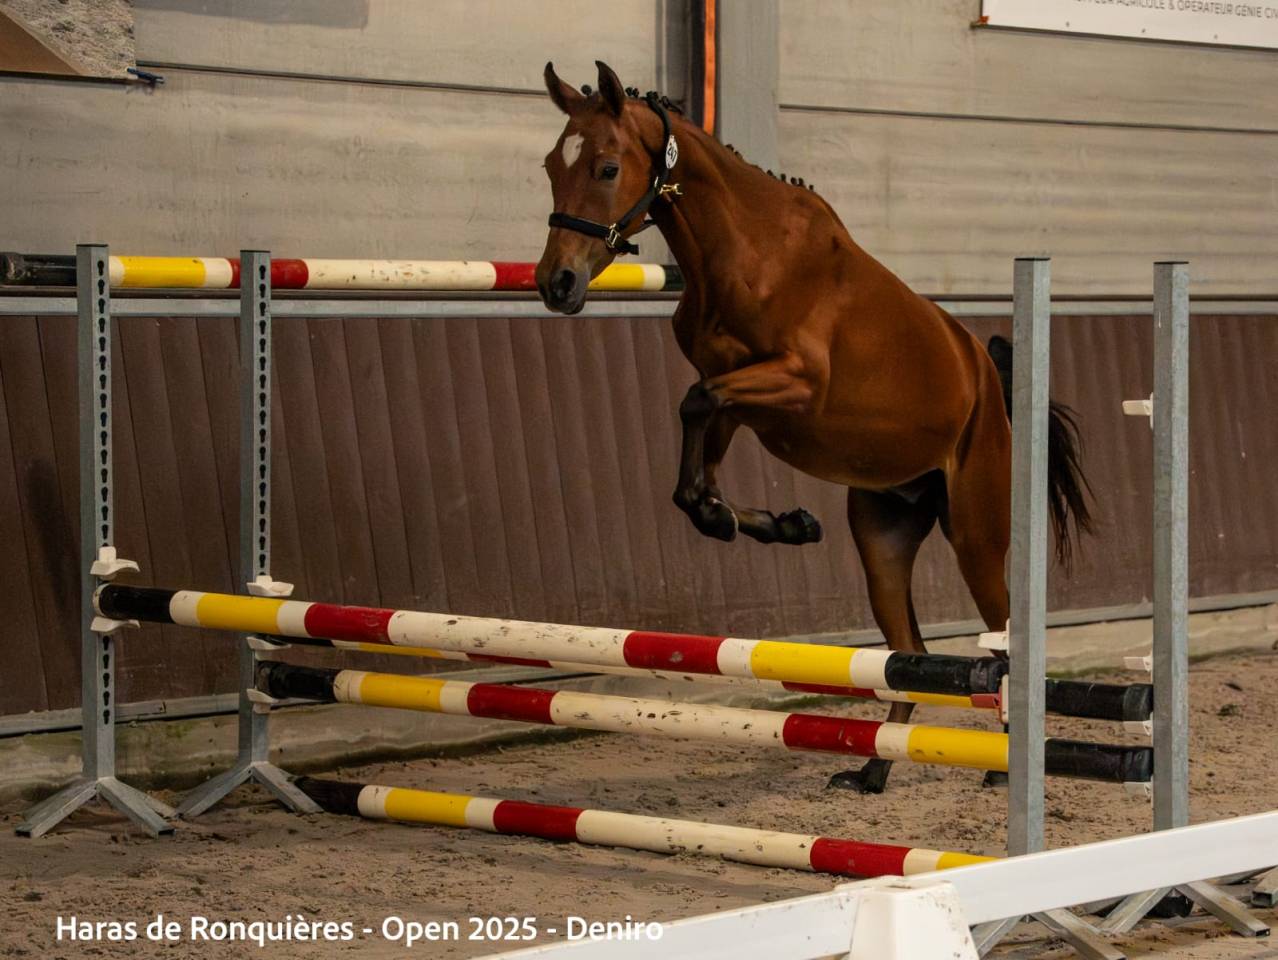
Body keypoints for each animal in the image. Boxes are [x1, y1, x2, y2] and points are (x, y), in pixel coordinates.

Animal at [534, 61, 1092, 794]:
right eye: (551, 165)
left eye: (605, 167)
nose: (556, 284)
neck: (747, 250)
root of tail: (987, 378)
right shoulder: (737, 395)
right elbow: (695, 459)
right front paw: (775, 523)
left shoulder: (794, 385)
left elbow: (694, 406)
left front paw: (752, 519)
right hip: (883, 533)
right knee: (908, 650)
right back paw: (872, 770)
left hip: (975, 533)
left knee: (1002, 634)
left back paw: (1002, 769)